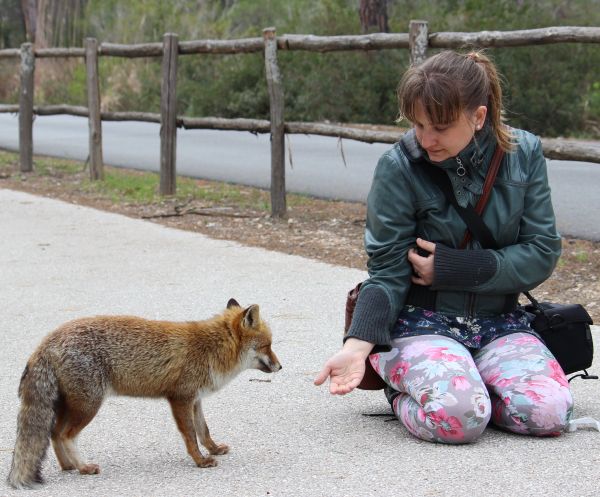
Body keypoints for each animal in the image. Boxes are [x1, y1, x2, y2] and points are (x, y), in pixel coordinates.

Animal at [7, 296, 282, 486]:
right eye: (267, 346)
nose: (281, 366)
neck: (212, 349)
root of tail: (46, 341)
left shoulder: (195, 399)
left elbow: (204, 431)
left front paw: (213, 450)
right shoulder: (180, 399)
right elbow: (191, 437)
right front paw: (201, 461)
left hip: (71, 405)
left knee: (53, 433)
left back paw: (68, 467)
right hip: (88, 406)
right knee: (65, 435)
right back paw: (84, 467)